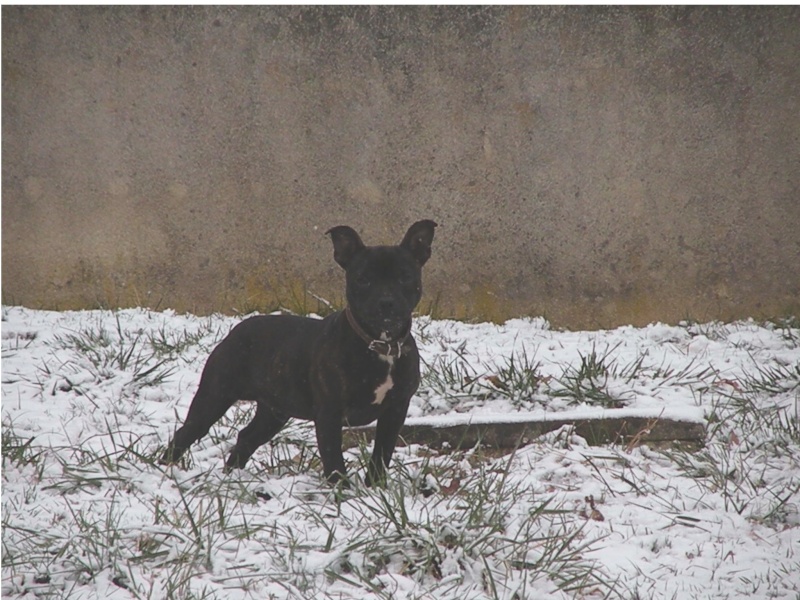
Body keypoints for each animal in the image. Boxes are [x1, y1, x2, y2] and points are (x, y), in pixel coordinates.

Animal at [162, 218, 438, 486]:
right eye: (362, 279)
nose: (386, 302)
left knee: (247, 437)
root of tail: (237, 329)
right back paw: (166, 470)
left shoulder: (395, 411)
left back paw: (232, 477)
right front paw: (343, 493)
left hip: (274, 411)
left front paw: (375, 489)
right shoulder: (329, 413)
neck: (379, 343)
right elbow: (333, 459)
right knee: (186, 433)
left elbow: (382, 454)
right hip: (215, 395)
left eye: (405, 277)